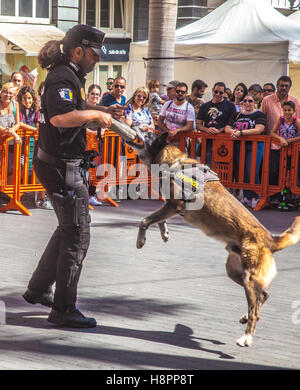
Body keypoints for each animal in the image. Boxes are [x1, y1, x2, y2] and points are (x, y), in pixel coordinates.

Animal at [126, 130, 300, 348]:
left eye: (148, 133)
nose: (135, 126)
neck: (174, 162)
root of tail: (270, 240)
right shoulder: (170, 207)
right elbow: (158, 220)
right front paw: (164, 232)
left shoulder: (174, 205)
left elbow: (144, 220)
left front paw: (141, 240)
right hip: (235, 272)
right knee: (263, 295)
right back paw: (245, 317)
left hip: (249, 279)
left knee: (256, 311)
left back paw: (246, 337)